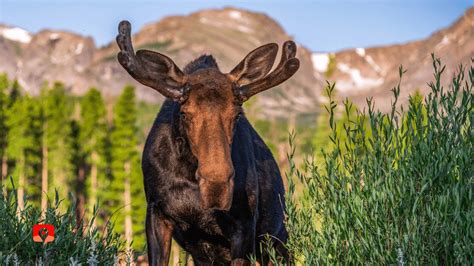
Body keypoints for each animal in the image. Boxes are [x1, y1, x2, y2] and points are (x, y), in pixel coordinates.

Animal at [115, 19, 300, 264]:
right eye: (185, 113)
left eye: (237, 114)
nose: (216, 185)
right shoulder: (156, 213)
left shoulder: (244, 225)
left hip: (278, 242)